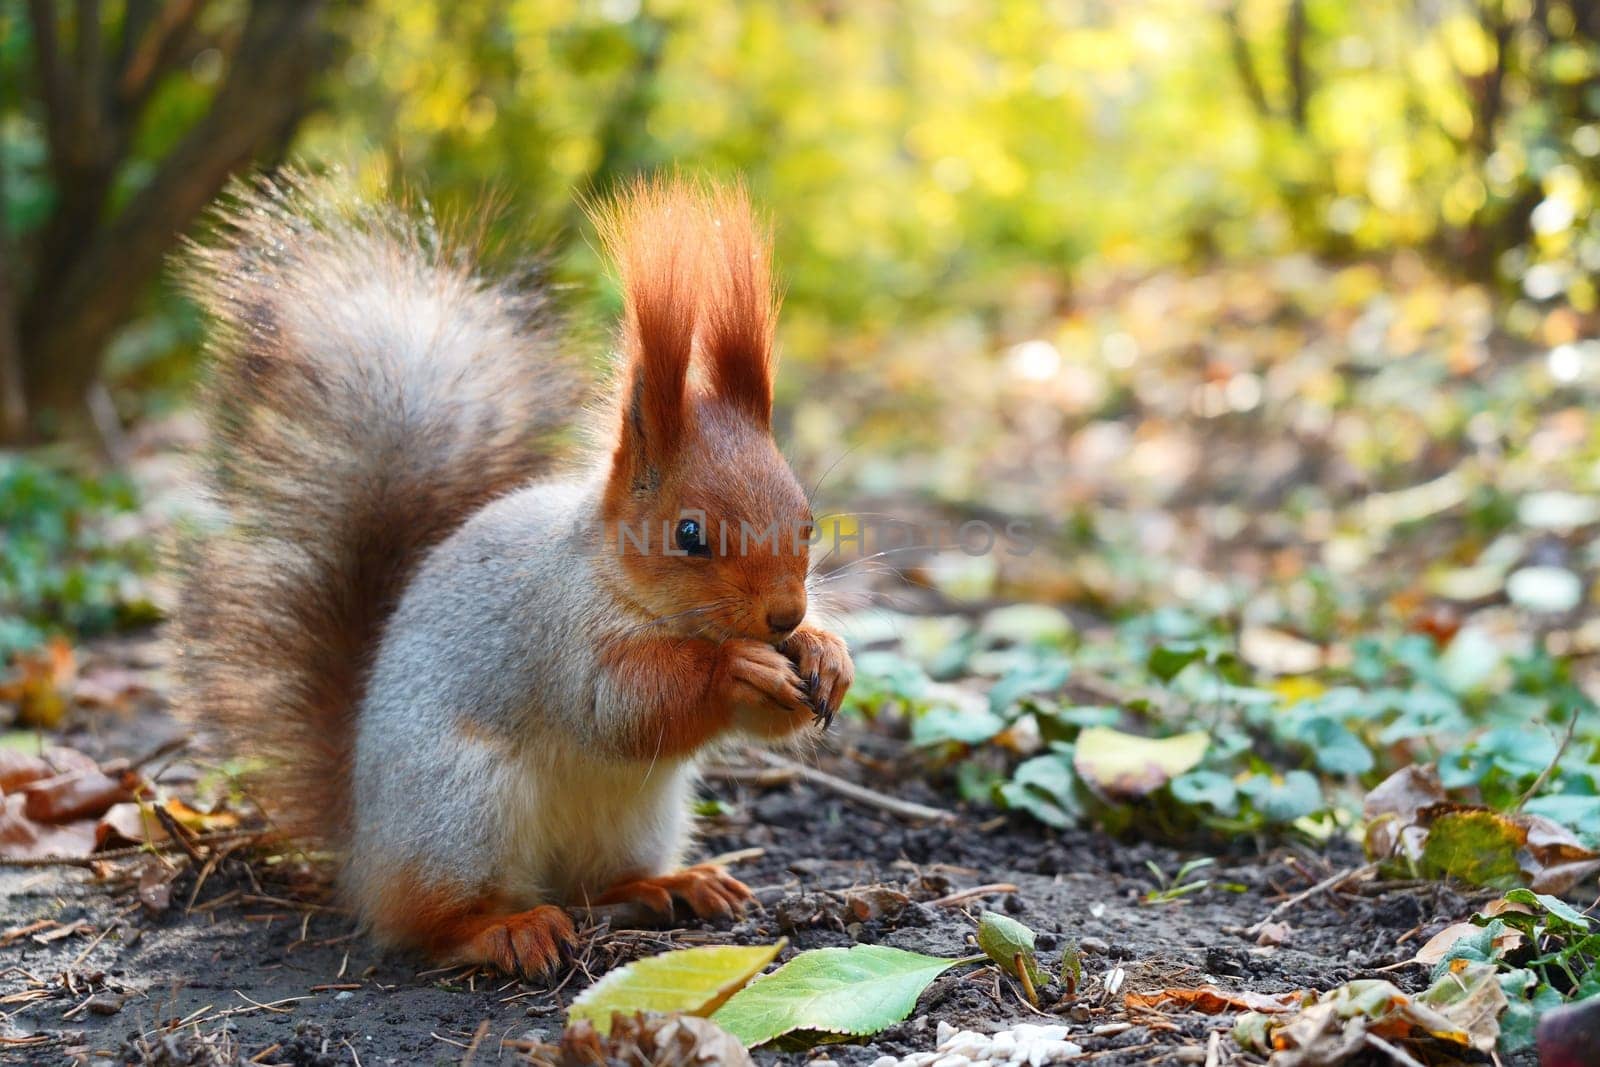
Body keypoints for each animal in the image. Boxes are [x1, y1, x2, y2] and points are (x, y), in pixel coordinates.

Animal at [173, 173, 851, 979]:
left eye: (807, 520)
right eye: (689, 535)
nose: (784, 615)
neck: (632, 590)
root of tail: (362, 848)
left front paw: (825, 653)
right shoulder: (555, 632)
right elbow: (619, 705)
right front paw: (739, 667)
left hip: (633, 816)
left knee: (592, 883)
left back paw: (670, 885)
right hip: (460, 807)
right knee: (426, 922)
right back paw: (507, 929)